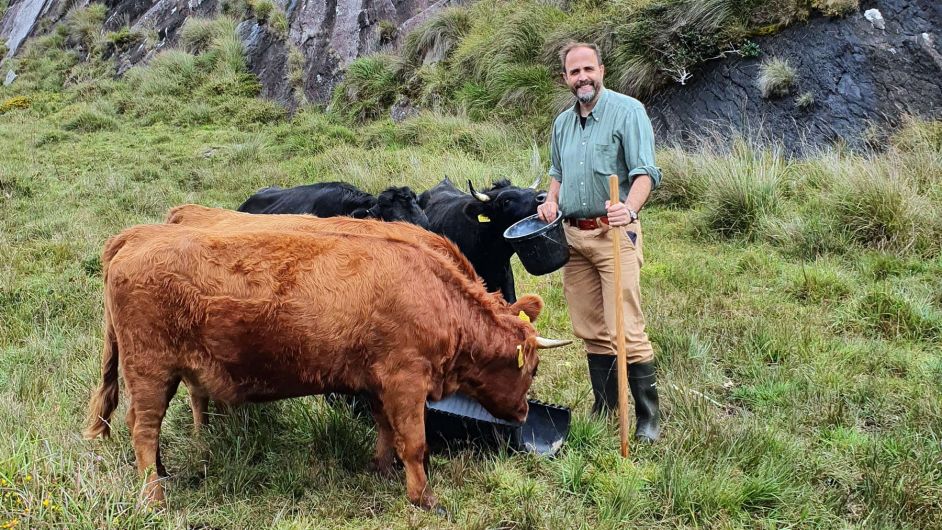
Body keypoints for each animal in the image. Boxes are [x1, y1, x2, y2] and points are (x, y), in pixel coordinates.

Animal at [85, 221, 568, 506]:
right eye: (532, 369)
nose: (523, 412)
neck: (434, 292)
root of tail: (136, 236)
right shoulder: (406, 381)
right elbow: (415, 443)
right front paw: (422, 497)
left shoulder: (377, 382)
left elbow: (385, 430)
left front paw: (381, 468)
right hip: (150, 371)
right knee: (143, 430)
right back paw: (154, 496)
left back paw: (163, 476)